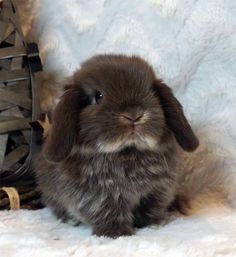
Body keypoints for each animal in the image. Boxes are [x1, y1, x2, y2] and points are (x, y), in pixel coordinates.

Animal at [34, 53, 198, 236]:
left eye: (151, 92)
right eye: (98, 96)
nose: (134, 115)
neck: (127, 152)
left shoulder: (157, 190)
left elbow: (151, 208)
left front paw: (153, 223)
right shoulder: (99, 197)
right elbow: (108, 213)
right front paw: (116, 233)